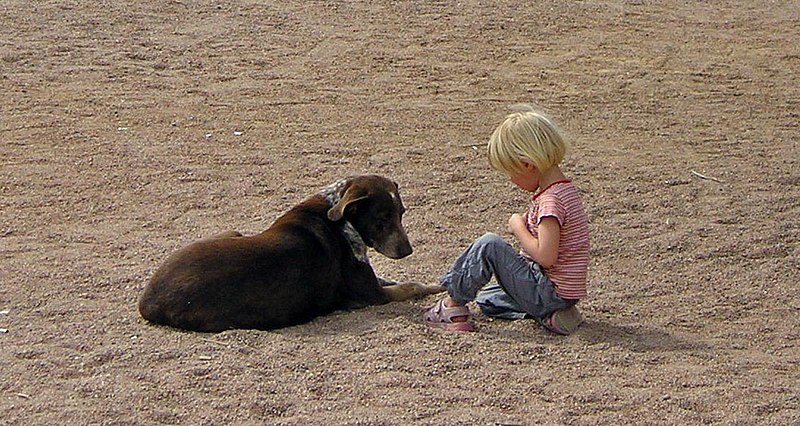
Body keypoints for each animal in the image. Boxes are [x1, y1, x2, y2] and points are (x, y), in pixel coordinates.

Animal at [138, 175, 444, 332]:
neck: (338, 217)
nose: (408, 250)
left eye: (402, 213)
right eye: (382, 218)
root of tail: (147, 302)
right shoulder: (373, 296)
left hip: (232, 231)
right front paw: (434, 286)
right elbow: (412, 285)